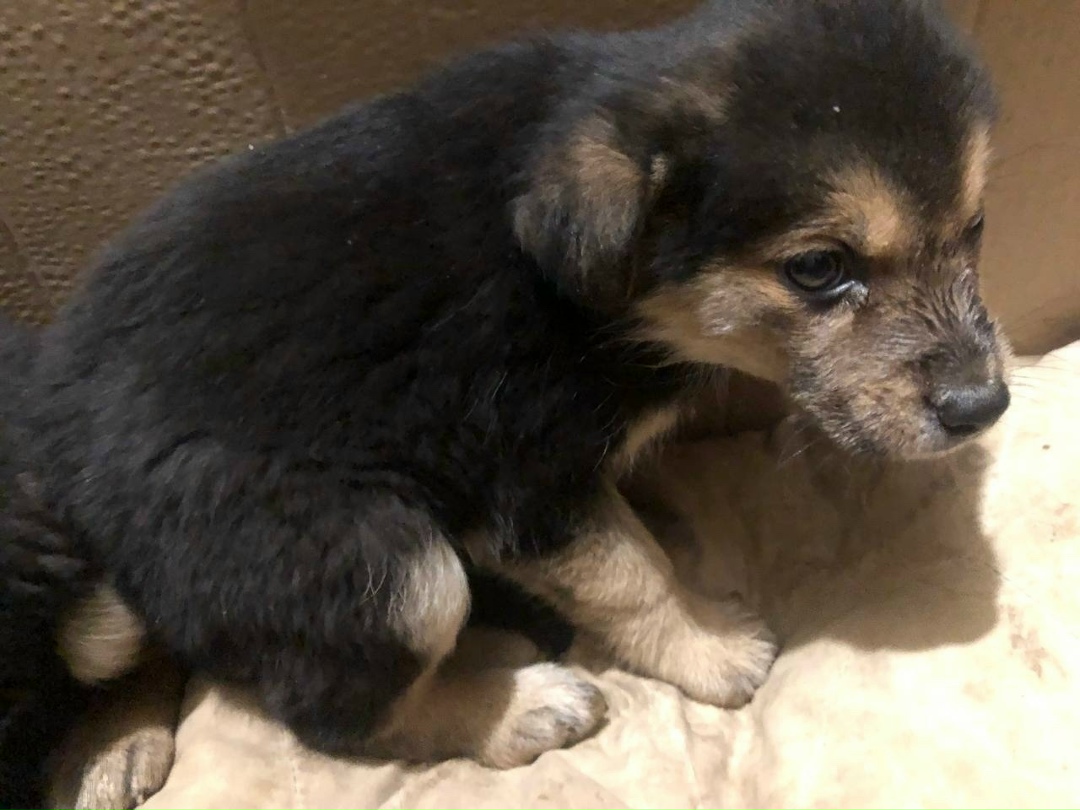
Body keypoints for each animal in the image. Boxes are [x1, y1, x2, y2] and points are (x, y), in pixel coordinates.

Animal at [4, 0, 1009, 790]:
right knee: (336, 712)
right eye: (817, 269)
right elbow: (634, 576)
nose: (982, 408)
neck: (620, 294)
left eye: (975, 228)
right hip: (377, 559)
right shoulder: (523, 477)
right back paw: (518, 708)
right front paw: (711, 650)